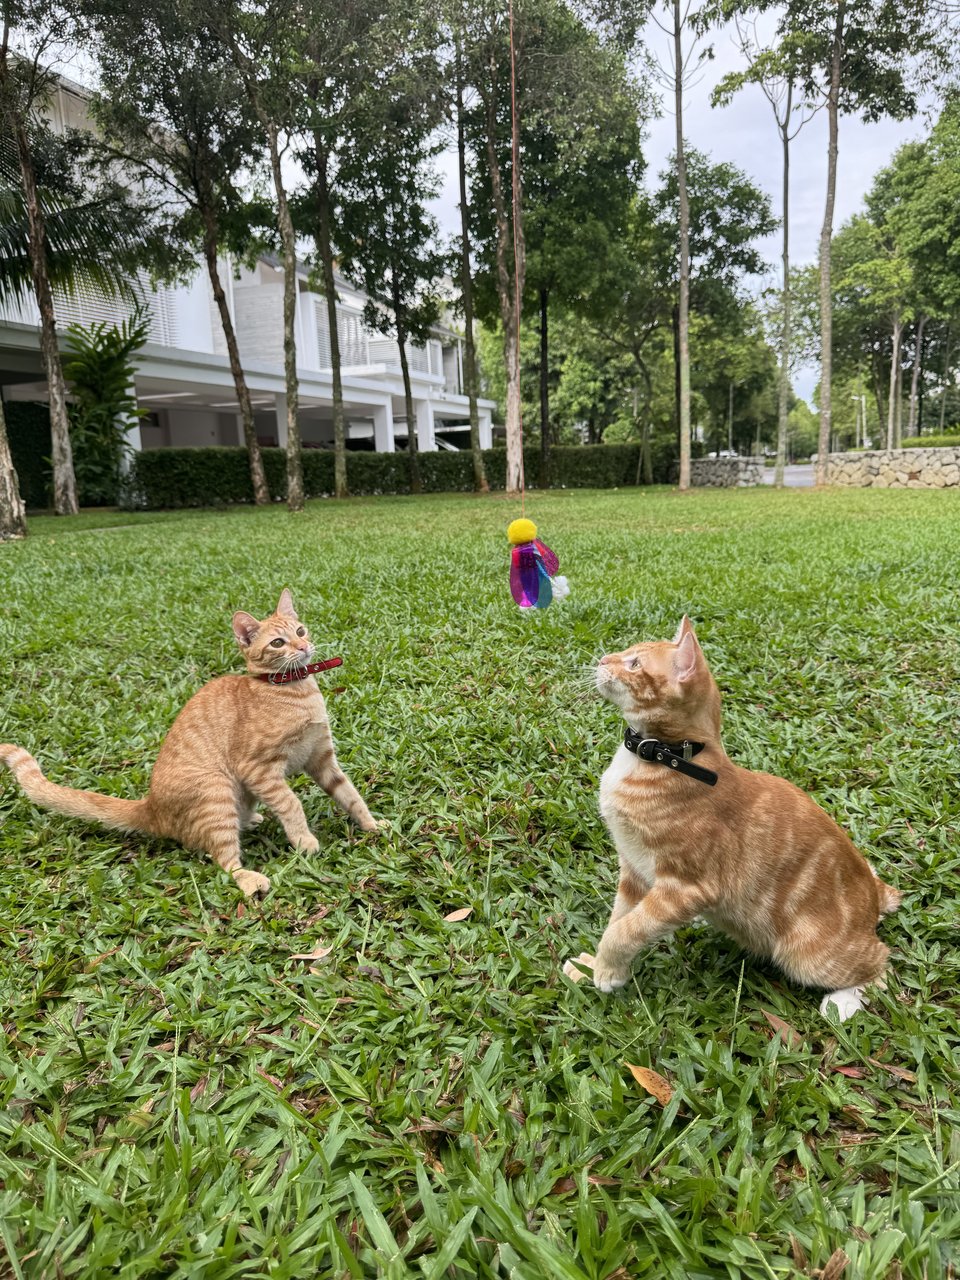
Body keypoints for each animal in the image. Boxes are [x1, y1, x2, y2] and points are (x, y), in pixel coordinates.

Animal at [0, 586, 378, 890]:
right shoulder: (258, 768)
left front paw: (373, 825)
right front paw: (304, 840)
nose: (303, 646)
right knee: (223, 860)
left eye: (300, 630)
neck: (294, 690)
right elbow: (291, 803)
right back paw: (249, 879)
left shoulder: (322, 758)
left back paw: (251, 819)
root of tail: (151, 807)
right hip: (215, 789)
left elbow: (350, 795)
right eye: (277, 643)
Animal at [563, 616, 901, 1018]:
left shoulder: (686, 888)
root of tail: (874, 894)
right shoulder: (634, 870)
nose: (602, 659)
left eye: (633, 664)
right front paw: (594, 966)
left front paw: (606, 970)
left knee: (883, 962)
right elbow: (620, 918)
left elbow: (625, 930)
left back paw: (843, 1002)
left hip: (809, 955)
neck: (667, 759)